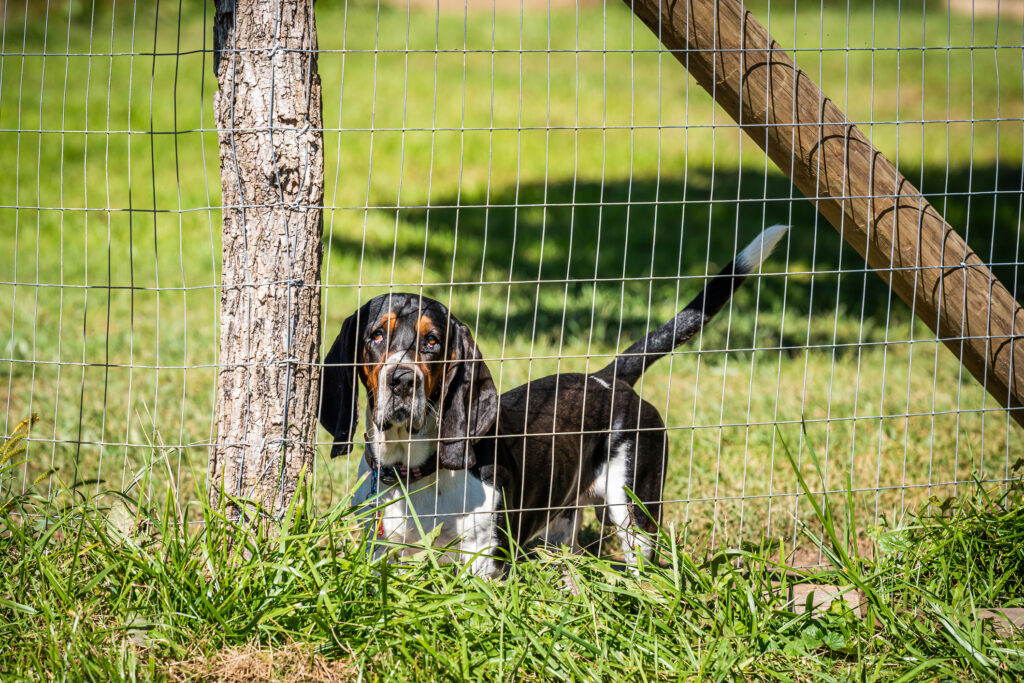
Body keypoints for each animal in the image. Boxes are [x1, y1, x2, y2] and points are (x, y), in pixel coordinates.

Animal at [319, 224, 782, 577]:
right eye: (376, 336)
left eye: (432, 341)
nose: (401, 380)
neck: (413, 472)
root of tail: (605, 379)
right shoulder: (382, 553)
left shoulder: (481, 565)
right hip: (565, 524)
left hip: (634, 509)